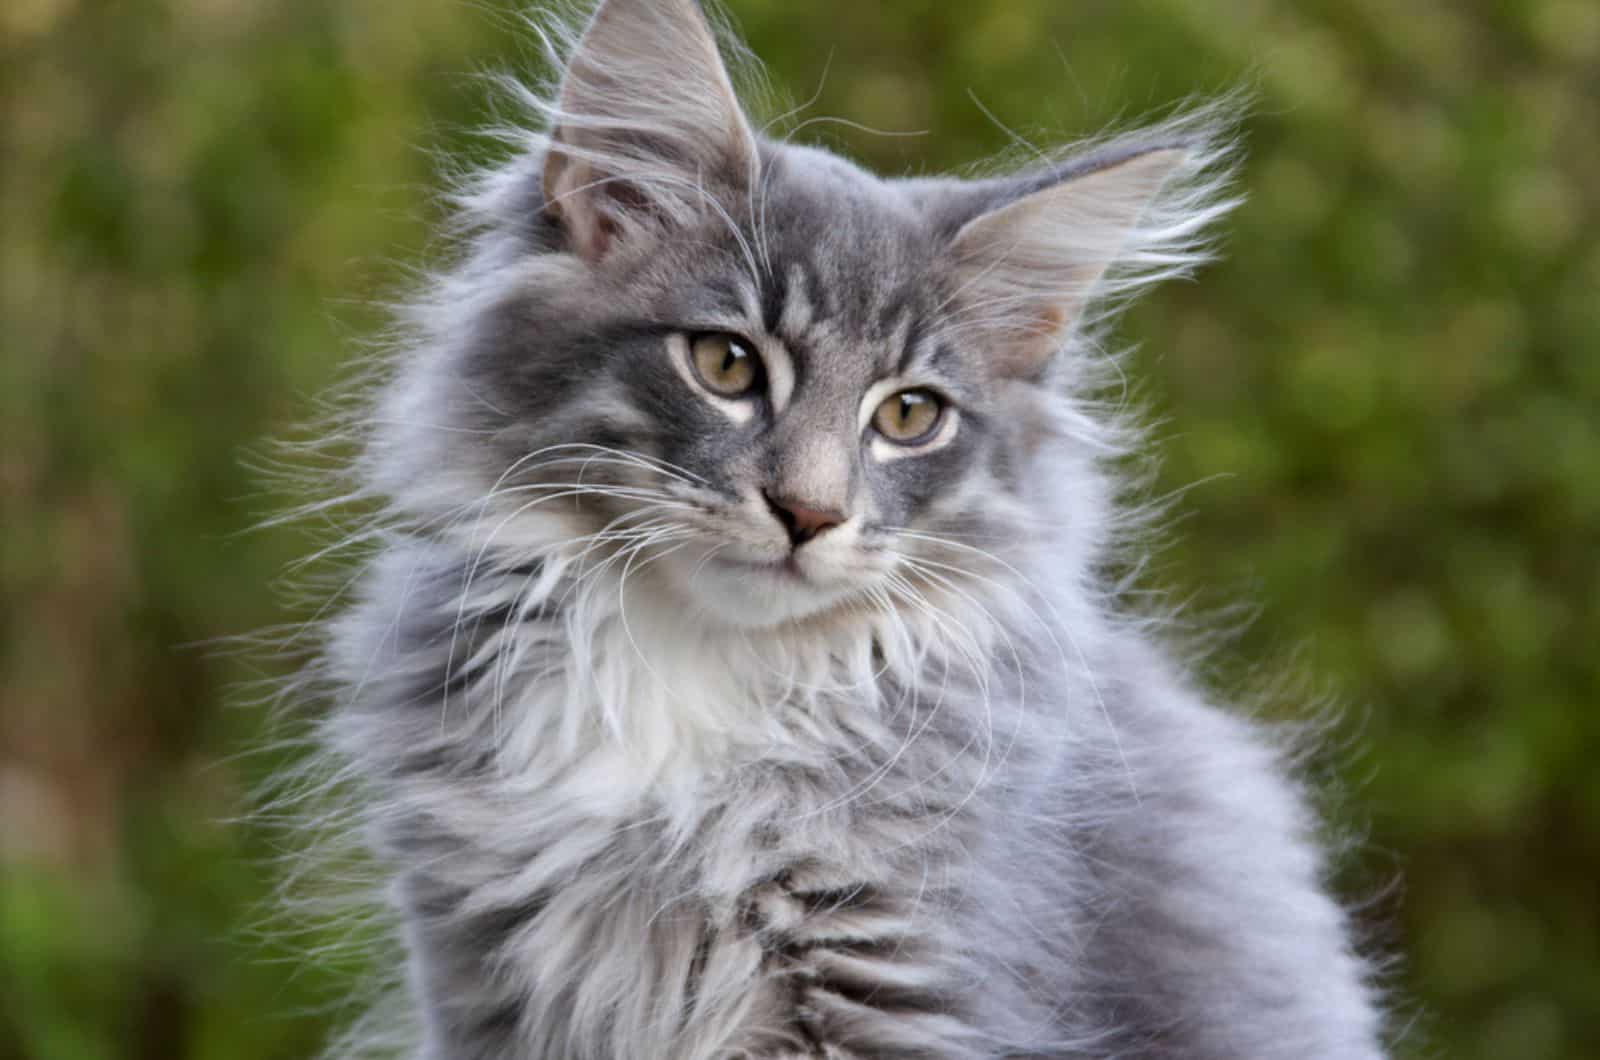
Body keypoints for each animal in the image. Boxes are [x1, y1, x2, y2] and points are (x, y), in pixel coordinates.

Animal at [288, 2, 1388, 1060]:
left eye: (908, 416)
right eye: (726, 364)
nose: (808, 512)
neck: (694, 674)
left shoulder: (905, 975)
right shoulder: (478, 969)